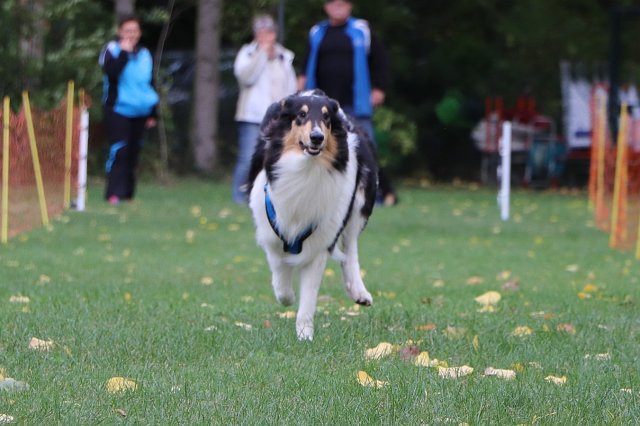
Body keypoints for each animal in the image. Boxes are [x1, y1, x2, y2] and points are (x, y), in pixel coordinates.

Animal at [249, 90, 380, 342]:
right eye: (301, 115)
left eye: (327, 119)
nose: (317, 137)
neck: (305, 169)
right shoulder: (271, 233)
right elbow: (281, 278)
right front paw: (287, 296)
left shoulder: (319, 244)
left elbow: (309, 296)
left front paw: (304, 335)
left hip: (360, 203)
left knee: (351, 248)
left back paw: (359, 291)